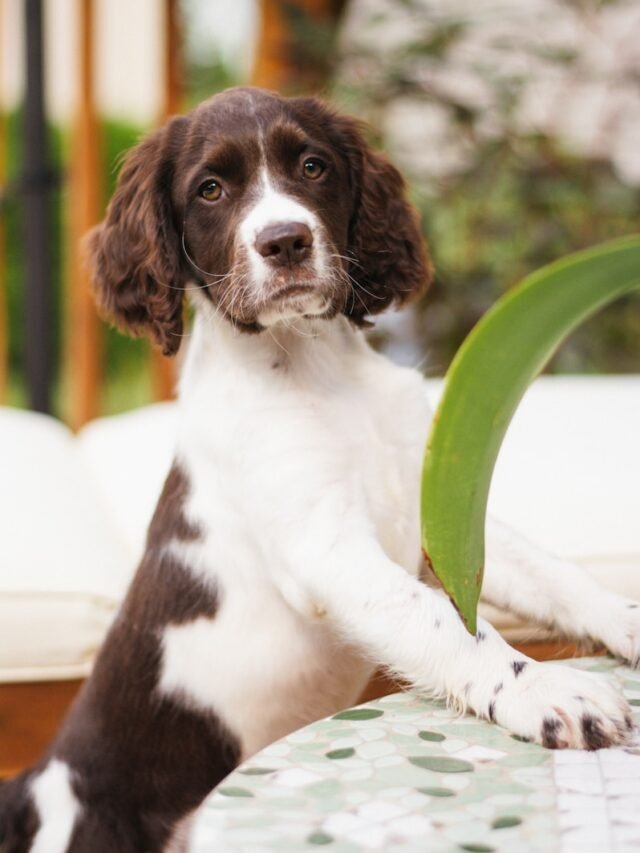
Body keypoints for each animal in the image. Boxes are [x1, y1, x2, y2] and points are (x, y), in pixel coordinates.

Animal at [1, 88, 640, 852]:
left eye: (312, 166)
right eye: (210, 189)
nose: (285, 242)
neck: (314, 366)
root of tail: (33, 789)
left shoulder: (438, 509)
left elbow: (557, 574)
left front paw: (628, 621)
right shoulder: (325, 548)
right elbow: (445, 622)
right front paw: (547, 690)